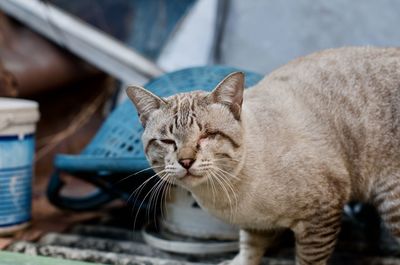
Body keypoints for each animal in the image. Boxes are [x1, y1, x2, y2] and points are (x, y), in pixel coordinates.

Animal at [126, 46, 400, 262]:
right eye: (167, 141)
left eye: (207, 135)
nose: (186, 161)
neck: (225, 195)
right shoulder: (254, 225)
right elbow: (249, 249)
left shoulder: (321, 216)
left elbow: (306, 260)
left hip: (392, 204)